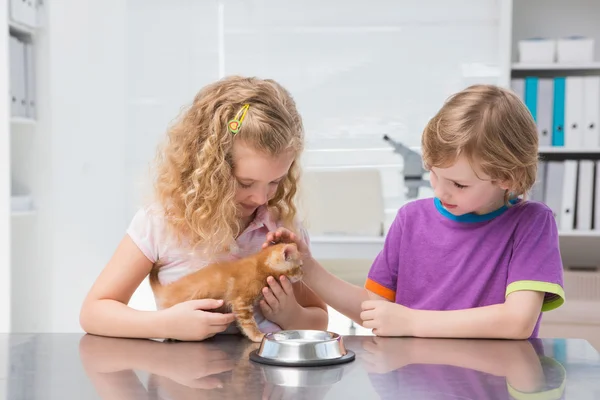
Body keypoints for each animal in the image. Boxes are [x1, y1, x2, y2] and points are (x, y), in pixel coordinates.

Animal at [148, 242, 302, 342]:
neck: (259, 266)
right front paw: (257, 336)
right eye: (300, 266)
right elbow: (249, 323)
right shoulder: (241, 302)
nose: (302, 275)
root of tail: (168, 289)